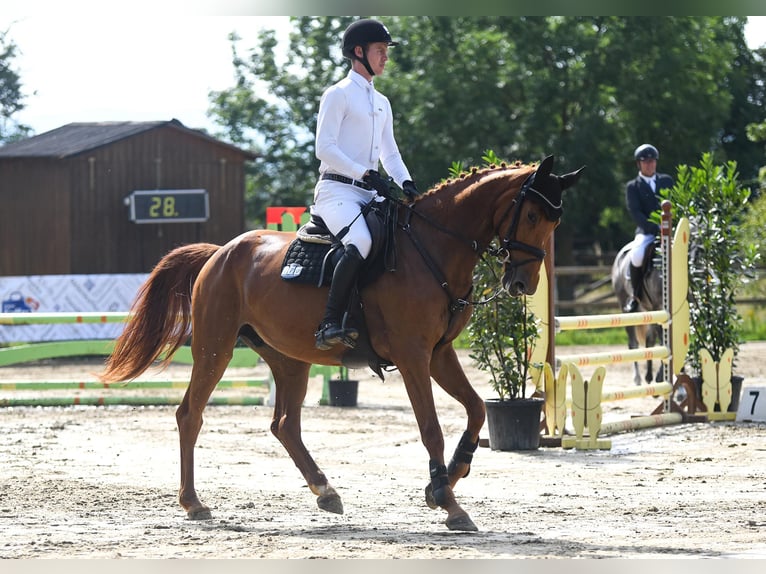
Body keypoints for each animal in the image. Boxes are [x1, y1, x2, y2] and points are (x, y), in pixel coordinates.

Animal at [100, 155, 584, 532]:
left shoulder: (439, 354)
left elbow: (477, 409)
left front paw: (449, 475)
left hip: (290, 360)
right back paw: (193, 502)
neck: (432, 247)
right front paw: (448, 501)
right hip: (214, 349)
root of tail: (220, 253)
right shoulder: (413, 356)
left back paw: (325, 491)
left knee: (285, 425)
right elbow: (430, 427)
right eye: (533, 216)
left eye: (556, 220)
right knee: (191, 414)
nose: (523, 283)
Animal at [612, 243, 664, 388]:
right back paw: (638, 378)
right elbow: (663, 342)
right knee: (633, 344)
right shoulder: (658, 308)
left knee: (649, 340)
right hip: (627, 310)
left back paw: (649, 377)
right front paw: (661, 376)